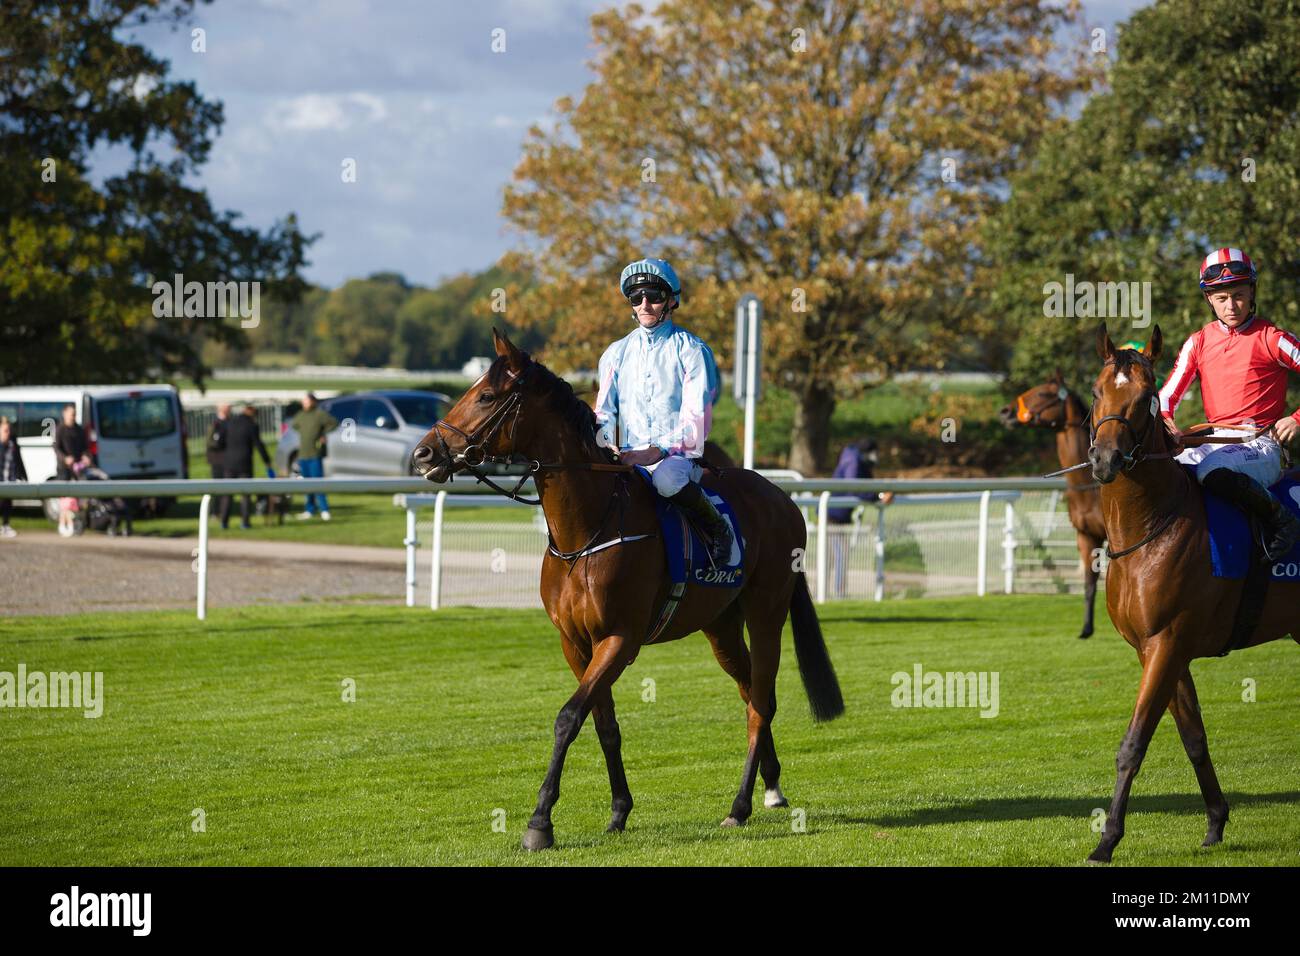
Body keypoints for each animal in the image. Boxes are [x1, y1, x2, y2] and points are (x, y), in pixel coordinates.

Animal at [410, 330, 847, 853]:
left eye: (487, 396)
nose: (423, 455)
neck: (586, 534)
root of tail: (783, 500)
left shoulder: (620, 638)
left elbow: (568, 717)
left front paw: (540, 823)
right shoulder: (576, 643)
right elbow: (603, 724)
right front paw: (618, 811)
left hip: (766, 614)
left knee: (761, 702)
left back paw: (739, 806)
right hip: (721, 626)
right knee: (751, 694)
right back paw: (773, 786)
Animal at [998, 371, 1102, 634]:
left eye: (1043, 393)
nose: (1005, 412)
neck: (1090, 486)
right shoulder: (1087, 536)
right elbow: (1089, 584)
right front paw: (1086, 629)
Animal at [1086, 323, 1300, 868]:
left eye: (1146, 396)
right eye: (1097, 392)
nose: (1106, 460)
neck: (1149, 526)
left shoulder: (1167, 642)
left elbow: (1134, 743)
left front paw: (1107, 838)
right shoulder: (1159, 650)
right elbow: (1194, 738)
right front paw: (1215, 822)